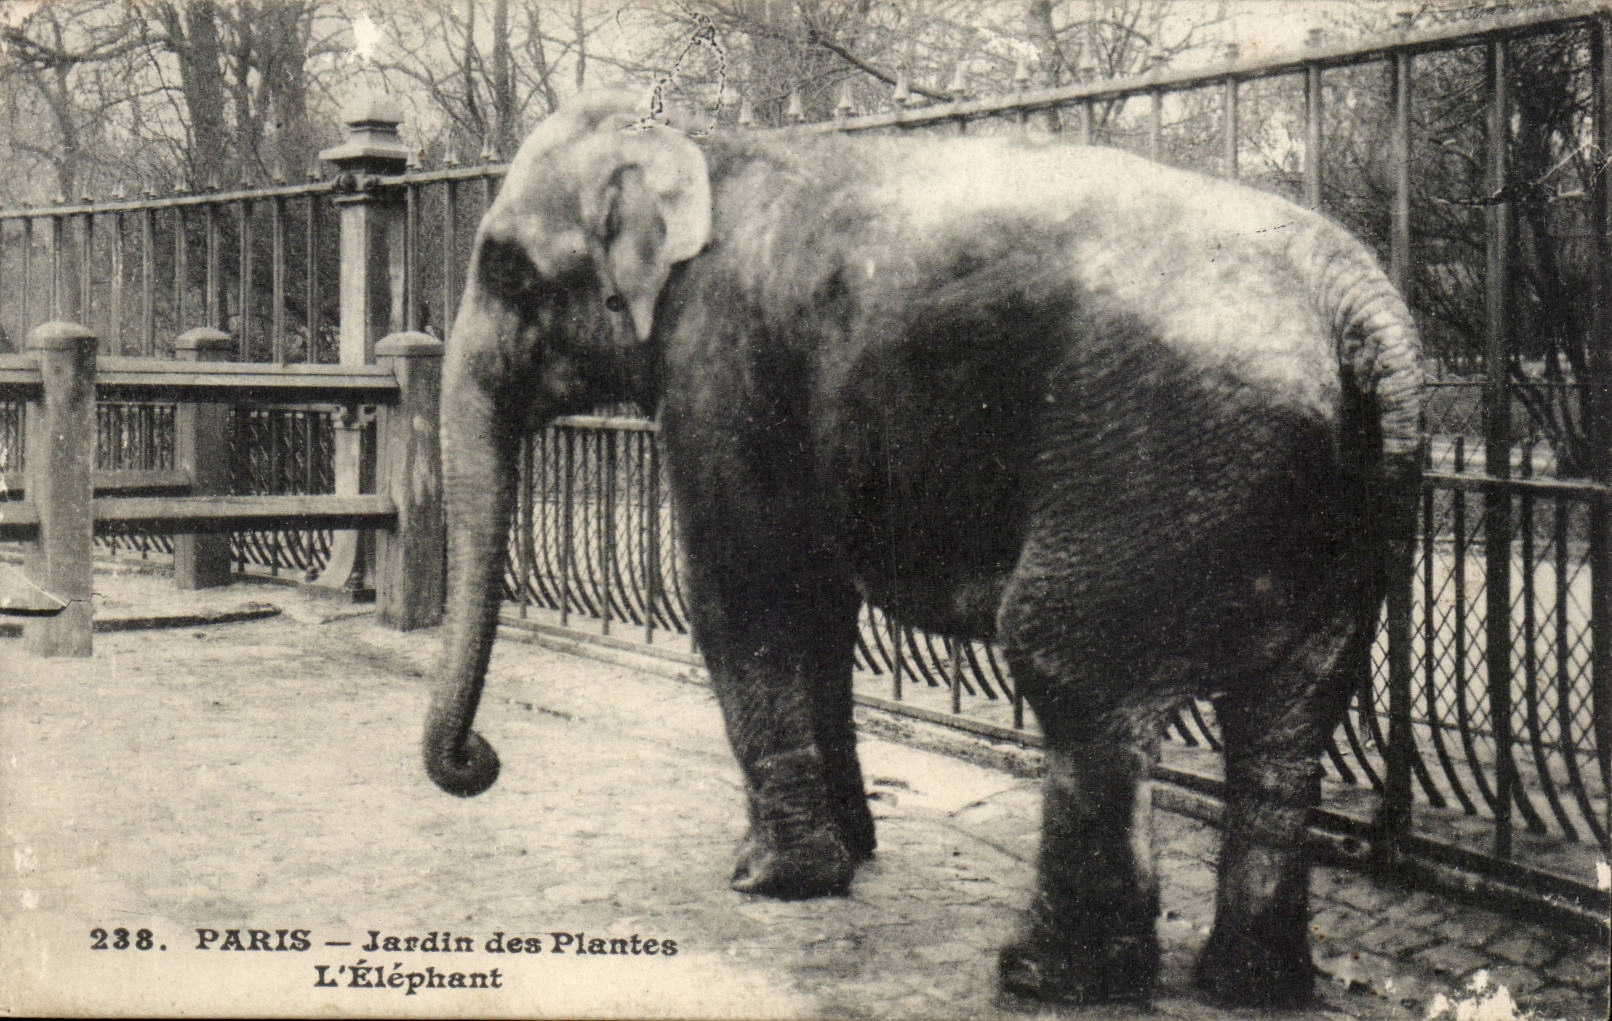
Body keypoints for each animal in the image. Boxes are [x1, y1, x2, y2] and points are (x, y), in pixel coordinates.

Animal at [421, 90, 1422, 1009]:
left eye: (505, 267)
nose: (479, 759)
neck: (696, 141)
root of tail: (1360, 306)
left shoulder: (720, 361)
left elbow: (744, 592)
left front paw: (769, 880)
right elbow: (817, 608)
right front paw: (849, 854)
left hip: (1159, 462)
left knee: (1069, 664)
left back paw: (1045, 975)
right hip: (1337, 513)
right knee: (1296, 709)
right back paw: (1251, 983)